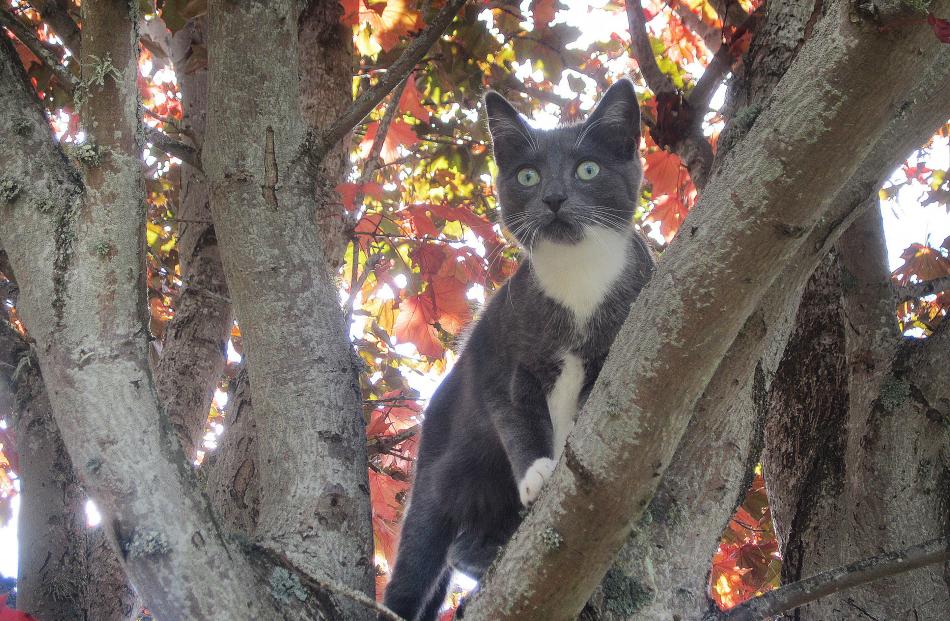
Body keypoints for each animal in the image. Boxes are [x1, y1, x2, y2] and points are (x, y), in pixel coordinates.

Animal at [380, 78, 656, 620]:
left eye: (587, 168)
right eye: (528, 175)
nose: (553, 197)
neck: (576, 279)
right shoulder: (499, 353)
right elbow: (515, 414)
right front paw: (536, 473)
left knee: (463, 547)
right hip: (440, 469)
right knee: (426, 553)